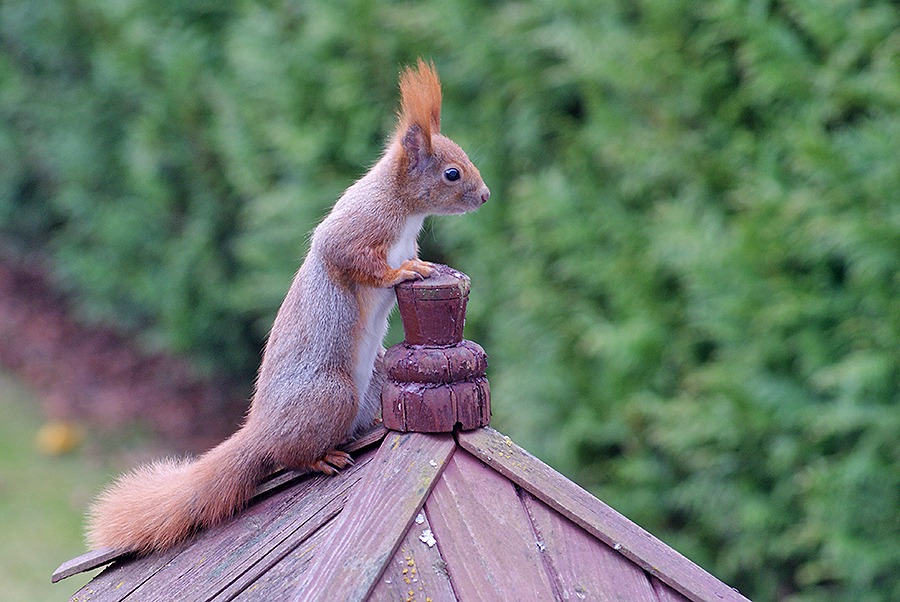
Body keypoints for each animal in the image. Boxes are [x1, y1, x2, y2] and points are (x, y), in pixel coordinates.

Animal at [84, 59, 488, 552]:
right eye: (452, 173)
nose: (485, 195)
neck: (404, 209)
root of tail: (259, 432)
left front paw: (424, 264)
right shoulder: (356, 229)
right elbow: (353, 259)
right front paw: (404, 273)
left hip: (372, 378)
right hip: (330, 395)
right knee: (288, 456)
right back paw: (321, 459)